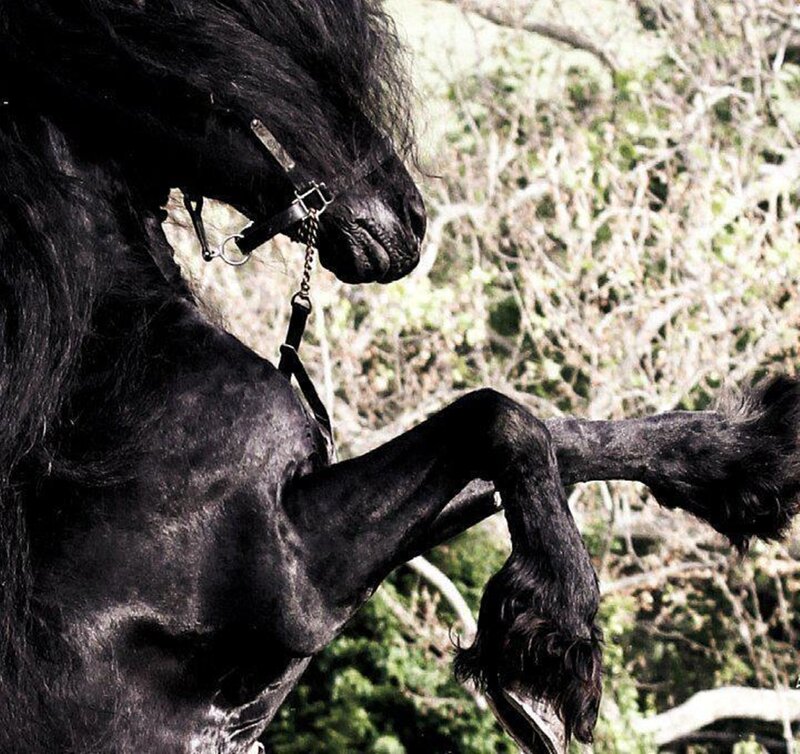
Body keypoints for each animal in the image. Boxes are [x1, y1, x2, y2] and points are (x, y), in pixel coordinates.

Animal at [1, 1, 799, 752]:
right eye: (264, 35)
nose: (410, 220)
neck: (114, 379)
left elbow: (556, 434)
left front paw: (741, 464)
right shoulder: (297, 578)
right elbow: (499, 416)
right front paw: (554, 639)